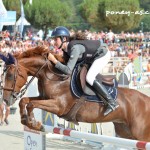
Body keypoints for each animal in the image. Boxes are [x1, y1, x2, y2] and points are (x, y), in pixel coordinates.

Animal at [0, 46, 150, 142]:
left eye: (10, 75)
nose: (6, 100)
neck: (53, 75)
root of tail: (146, 100)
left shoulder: (58, 106)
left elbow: (31, 104)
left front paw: (33, 123)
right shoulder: (44, 98)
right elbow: (25, 101)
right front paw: (26, 120)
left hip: (141, 135)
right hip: (125, 131)